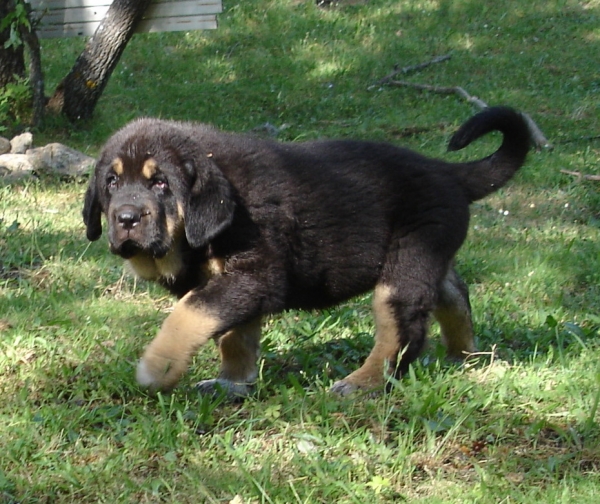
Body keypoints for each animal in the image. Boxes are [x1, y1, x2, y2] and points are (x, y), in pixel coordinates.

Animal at [84, 107, 528, 398]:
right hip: (432, 254)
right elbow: (234, 335)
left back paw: (364, 383)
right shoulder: (237, 282)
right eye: (111, 183)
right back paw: (464, 356)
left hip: (406, 264)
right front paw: (233, 382)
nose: (126, 218)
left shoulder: (254, 276)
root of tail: (447, 172)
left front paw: (157, 367)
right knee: (454, 295)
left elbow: (188, 315)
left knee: (403, 331)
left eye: (160, 183)